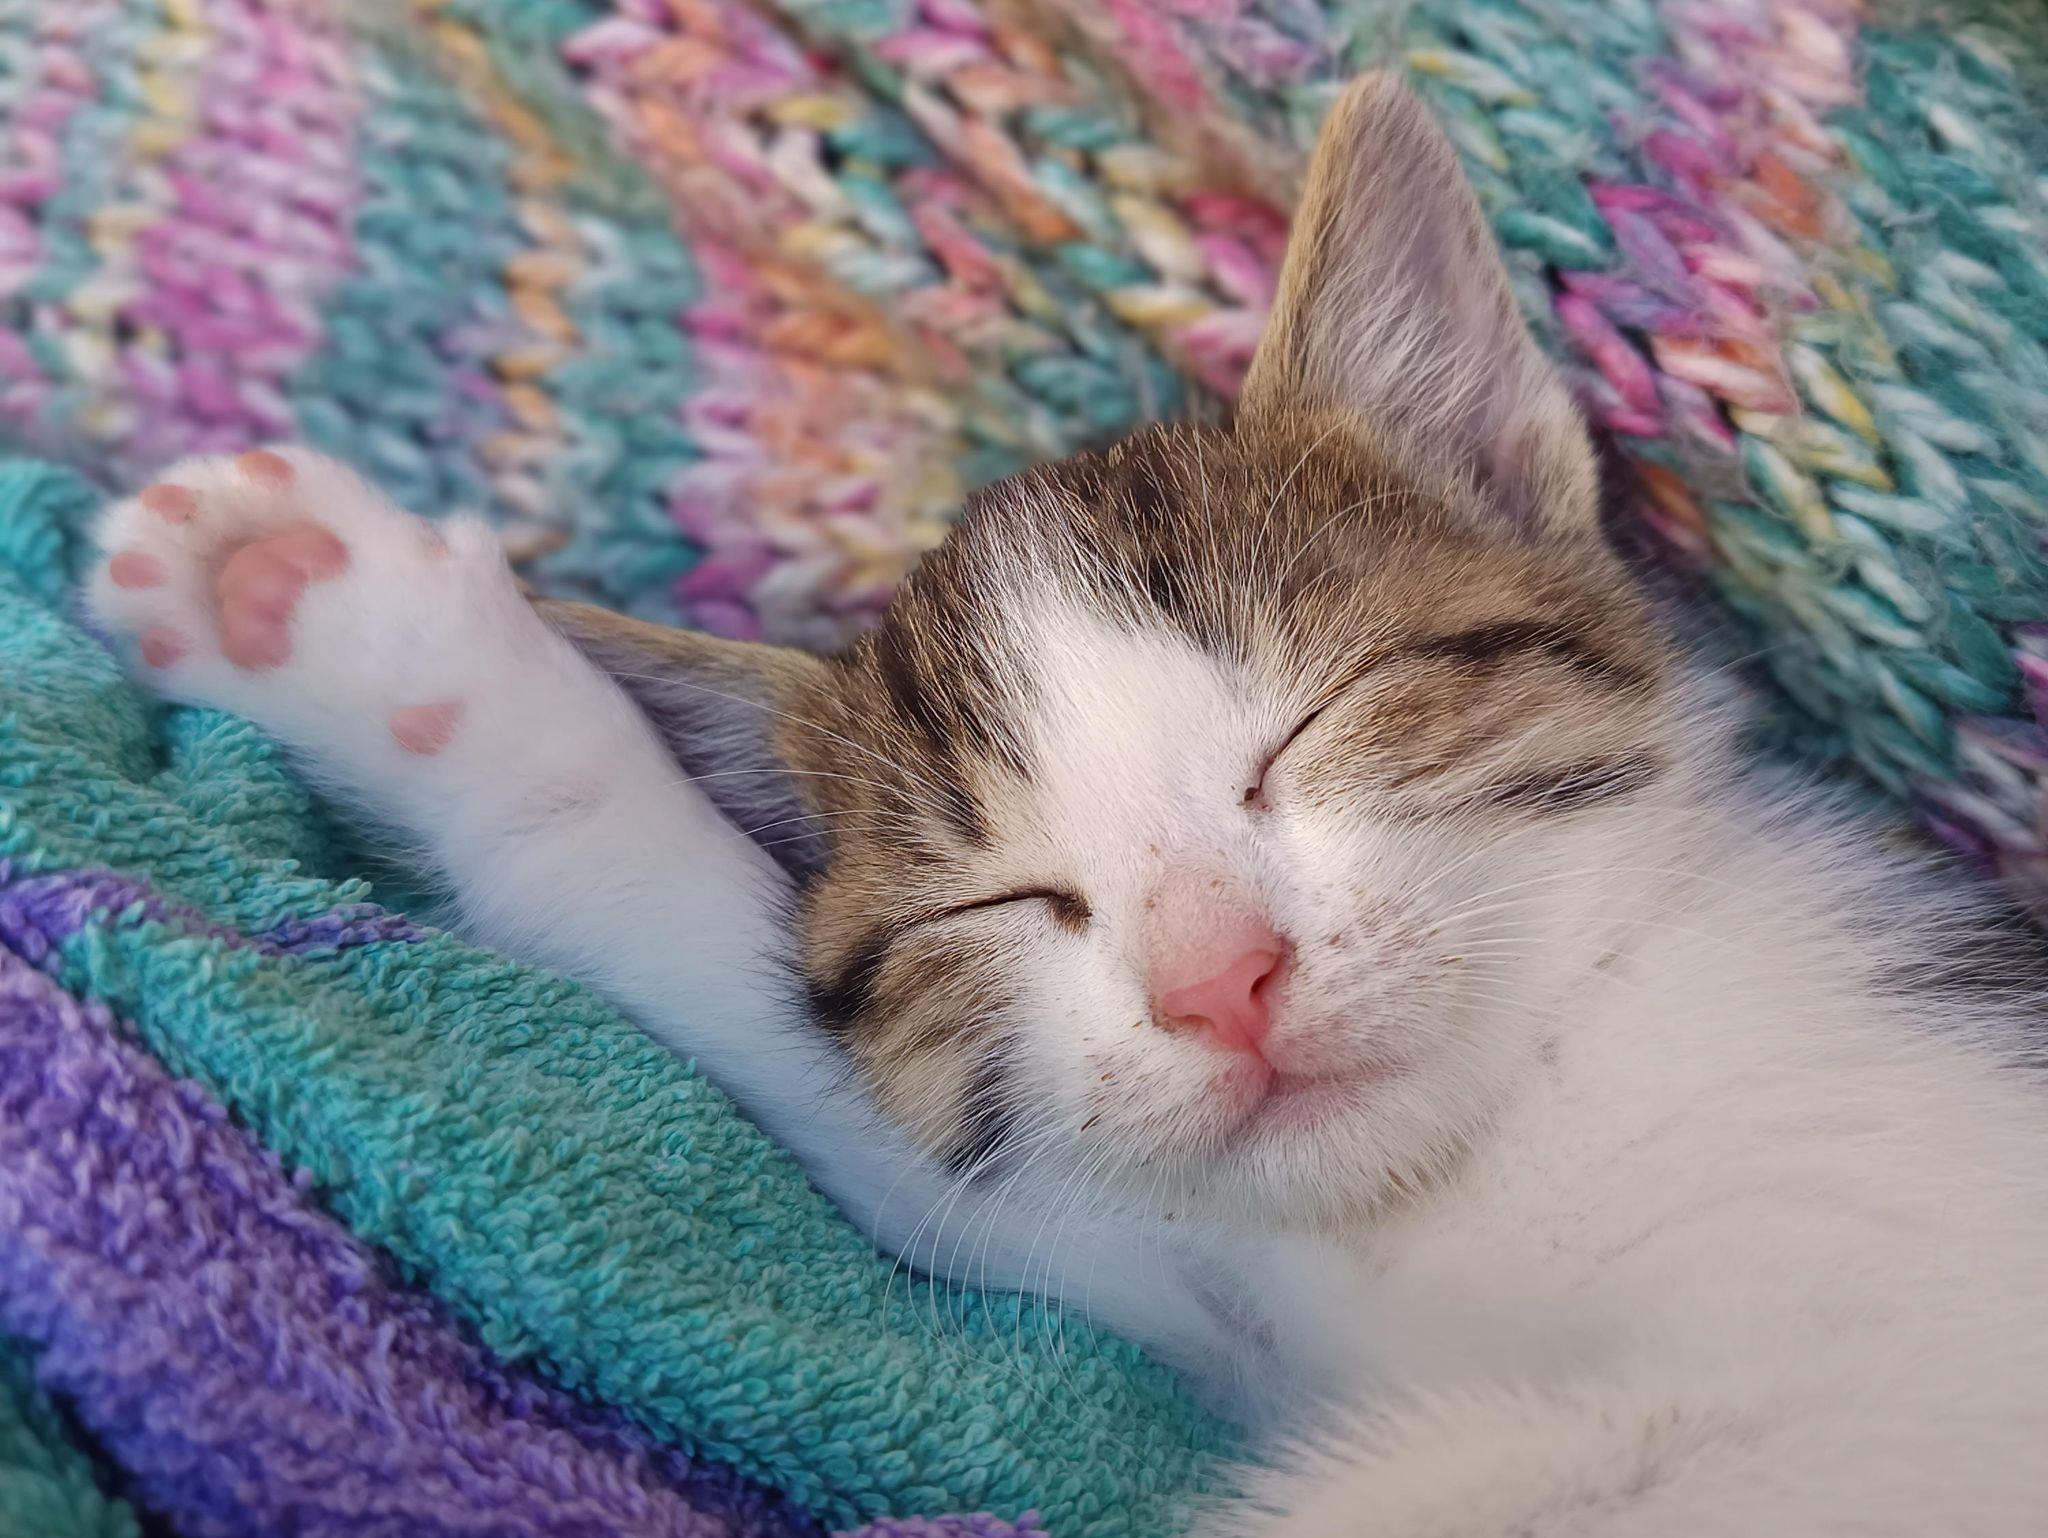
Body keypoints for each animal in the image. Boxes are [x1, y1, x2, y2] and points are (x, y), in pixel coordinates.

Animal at [89, 73, 2048, 1536]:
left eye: (1304, 727)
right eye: (1006, 900)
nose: (1217, 981)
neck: (1475, 1158)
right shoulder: (1204, 1296)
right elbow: (846, 1086)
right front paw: (358, 641)